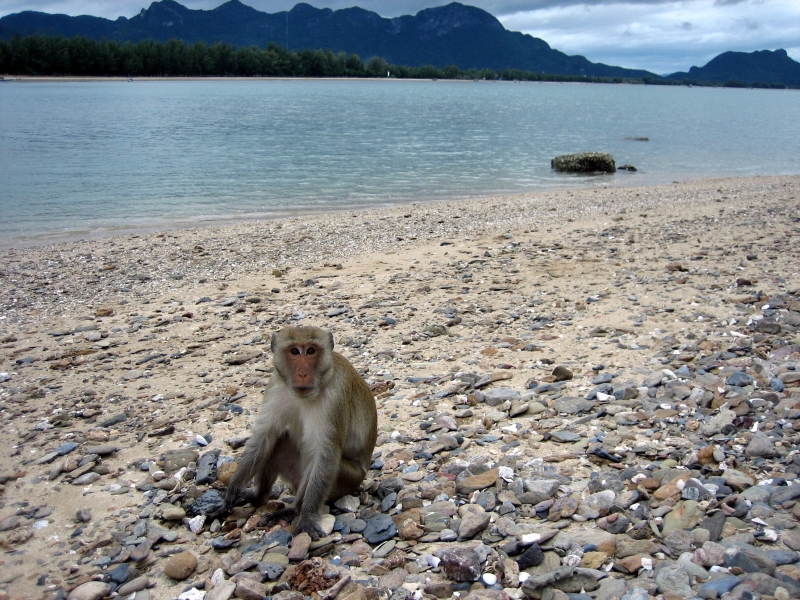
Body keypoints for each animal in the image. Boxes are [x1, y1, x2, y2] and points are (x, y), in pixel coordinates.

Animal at [223, 326, 376, 540]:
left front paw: (307, 517)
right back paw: (259, 496)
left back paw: (294, 509)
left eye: (311, 351)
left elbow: (325, 456)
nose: (303, 373)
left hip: (351, 480)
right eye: (295, 351)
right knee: (278, 440)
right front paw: (234, 487)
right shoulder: (275, 385)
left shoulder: (336, 396)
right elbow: (264, 437)